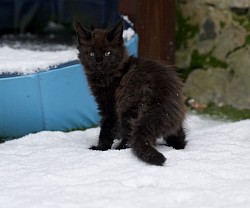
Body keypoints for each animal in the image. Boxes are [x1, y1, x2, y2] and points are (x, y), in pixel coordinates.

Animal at [74, 19, 186, 166]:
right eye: (91, 53)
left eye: (107, 53)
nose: (99, 62)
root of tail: (159, 103)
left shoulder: (110, 109)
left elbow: (106, 130)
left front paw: (100, 149)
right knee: (180, 137)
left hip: (128, 109)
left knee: (129, 138)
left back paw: (119, 148)